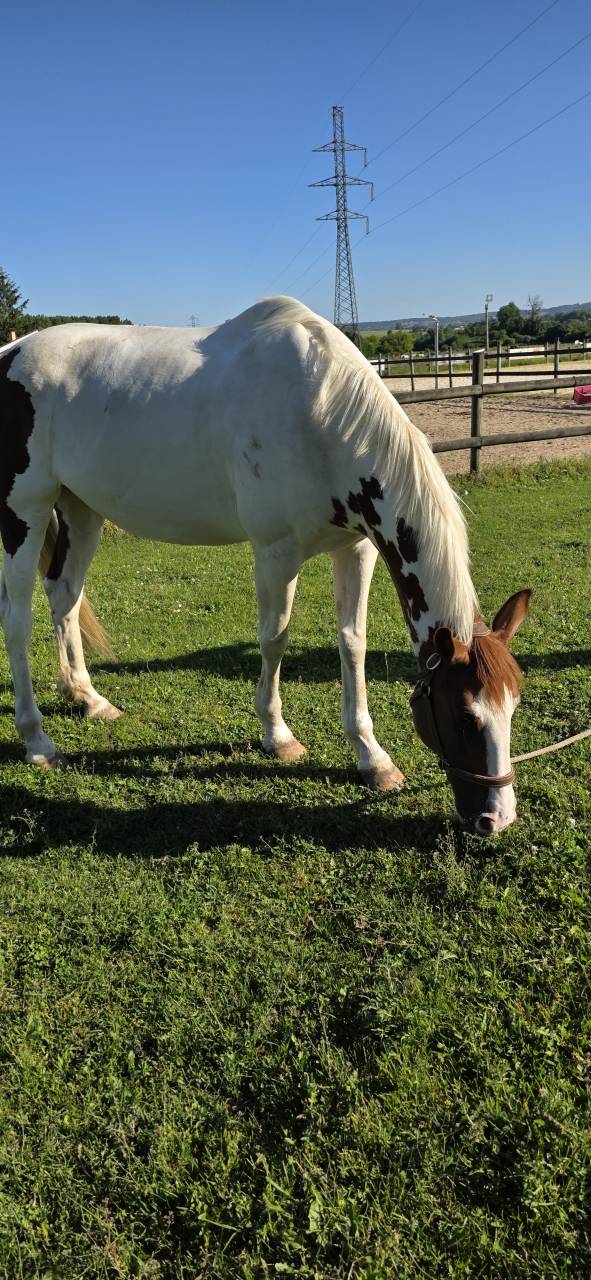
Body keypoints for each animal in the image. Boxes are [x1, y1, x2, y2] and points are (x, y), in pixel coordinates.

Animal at [0, 296, 530, 834]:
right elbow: (275, 638)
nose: (498, 817)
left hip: (81, 509)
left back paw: (87, 698)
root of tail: (11, 353)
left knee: (64, 595)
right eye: (465, 716)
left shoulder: (355, 548)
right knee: (18, 621)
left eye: (514, 703)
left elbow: (353, 644)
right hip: (25, 511)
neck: (322, 410)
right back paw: (37, 741)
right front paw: (278, 736)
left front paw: (372, 757)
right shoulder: (276, 552)